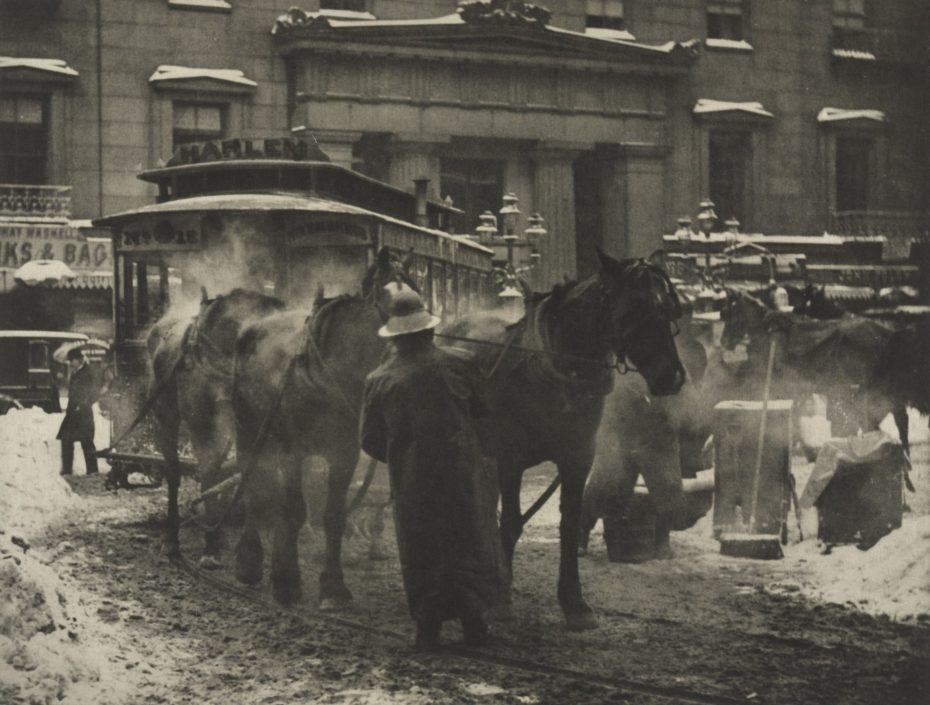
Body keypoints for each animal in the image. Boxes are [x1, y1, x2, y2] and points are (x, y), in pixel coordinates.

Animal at [147, 288, 284, 560]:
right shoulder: (203, 423)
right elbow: (209, 472)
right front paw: (210, 548)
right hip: (165, 415)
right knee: (173, 471)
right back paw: (172, 537)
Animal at [230, 248, 412, 604]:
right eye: (390, 301)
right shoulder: (292, 451)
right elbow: (294, 510)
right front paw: (286, 581)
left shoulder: (344, 453)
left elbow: (333, 515)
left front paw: (333, 586)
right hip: (249, 430)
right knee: (253, 487)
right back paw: (250, 560)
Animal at [442, 249, 680, 628]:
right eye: (635, 307)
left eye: (670, 307)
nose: (671, 376)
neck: (557, 372)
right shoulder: (511, 459)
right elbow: (511, 523)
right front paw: (502, 599)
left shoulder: (577, 459)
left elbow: (569, 523)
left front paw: (574, 602)